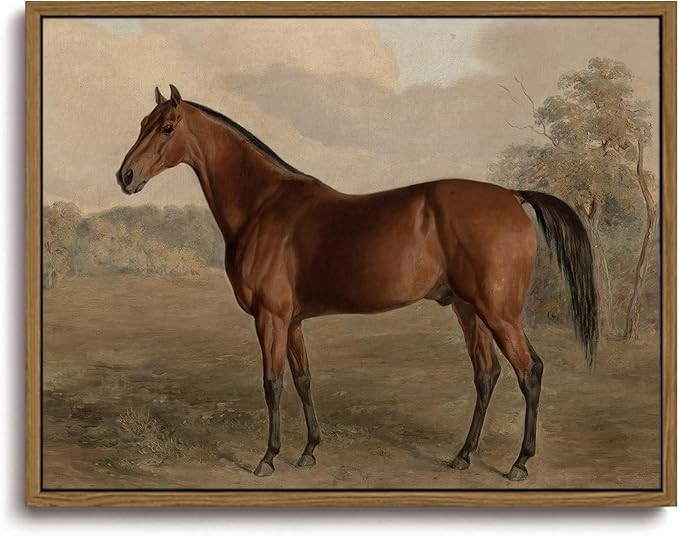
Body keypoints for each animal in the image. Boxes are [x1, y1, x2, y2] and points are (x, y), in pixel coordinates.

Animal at [116, 85, 598, 481]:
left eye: (166, 127)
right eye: (141, 123)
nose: (125, 176)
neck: (263, 205)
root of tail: (513, 196)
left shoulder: (270, 318)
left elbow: (272, 384)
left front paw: (269, 458)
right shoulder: (292, 321)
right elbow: (303, 379)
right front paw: (309, 451)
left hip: (499, 312)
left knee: (529, 371)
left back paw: (520, 462)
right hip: (469, 310)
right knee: (487, 374)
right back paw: (463, 455)